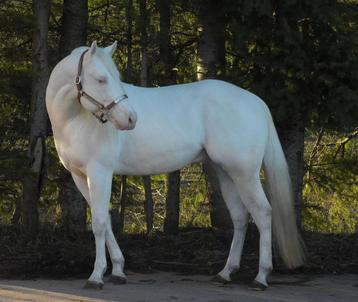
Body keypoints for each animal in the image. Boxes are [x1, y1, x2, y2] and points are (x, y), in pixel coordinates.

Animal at [46, 42, 304, 290]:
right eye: (101, 79)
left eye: (114, 78)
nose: (131, 119)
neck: (74, 121)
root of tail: (257, 102)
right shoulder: (80, 176)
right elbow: (106, 221)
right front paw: (118, 271)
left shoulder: (100, 172)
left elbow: (99, 224)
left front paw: (96, 276)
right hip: (225, 172)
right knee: (240, 217)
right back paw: (225, 273)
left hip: (245, 174)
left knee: (263, 213)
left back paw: (261, 277)